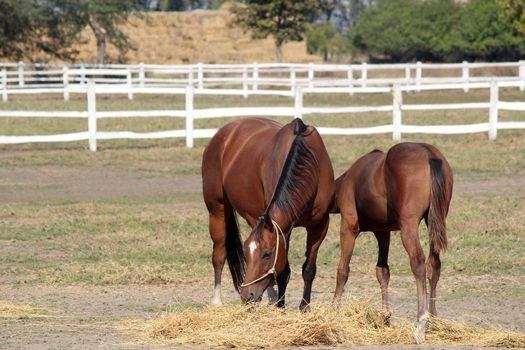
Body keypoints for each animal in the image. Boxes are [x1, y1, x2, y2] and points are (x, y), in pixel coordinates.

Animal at [201, 119, 332, 310]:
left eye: (267, 254)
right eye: (246, 254)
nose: (247, 295)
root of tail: (223, 134)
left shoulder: (320, 225)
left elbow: (309, 268)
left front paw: (304, 307)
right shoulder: (285, 229)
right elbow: (283, 271)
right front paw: (281, 306)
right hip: (217, 210)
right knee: (218, 255)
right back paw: (217, 301)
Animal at [332, 142, 450, 342]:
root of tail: (429, 154)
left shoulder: (348, 227)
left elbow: (343, 271)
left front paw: (333, 311)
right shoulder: (383, 232)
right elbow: (382, 271)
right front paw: (385, 317)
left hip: (409, 226)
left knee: (418, 263)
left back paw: (421, 323)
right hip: (433, 220)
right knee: (434, 265)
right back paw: (433, 319)